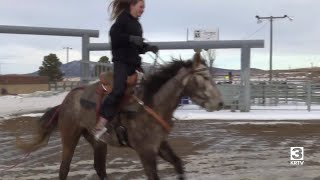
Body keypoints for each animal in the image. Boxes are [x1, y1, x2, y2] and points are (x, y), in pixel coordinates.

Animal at [16, 51, 224, 179]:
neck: (151, 104)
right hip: (70, 136)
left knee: (100, 168)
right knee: (64, 169)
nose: (220, 103)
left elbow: (179, 164)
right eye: (204, 77)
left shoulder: (160, 145)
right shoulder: (146, 151)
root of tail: (66, 101)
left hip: (98, 142)